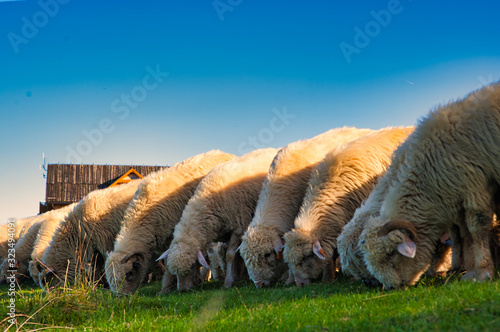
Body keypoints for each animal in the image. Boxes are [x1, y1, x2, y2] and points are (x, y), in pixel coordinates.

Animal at [105, 149, 234, 294]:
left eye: (129, 274)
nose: (121, 296)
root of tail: (225, 153)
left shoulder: (172, 238)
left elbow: (169, 263)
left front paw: (166, 288)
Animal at [160, 148, 278, 290]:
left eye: (192, 265)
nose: (182, 290)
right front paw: (236, 277)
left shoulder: (239, 227)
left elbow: (230, 255)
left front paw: (228, 282)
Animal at [360, 81, 500, 290]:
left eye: (391, 253)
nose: (391, 288)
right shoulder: (455, 197)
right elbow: (460, 235)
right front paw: (462, 268)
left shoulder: (473, 186)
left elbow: (476, 229)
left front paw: (482, 272)